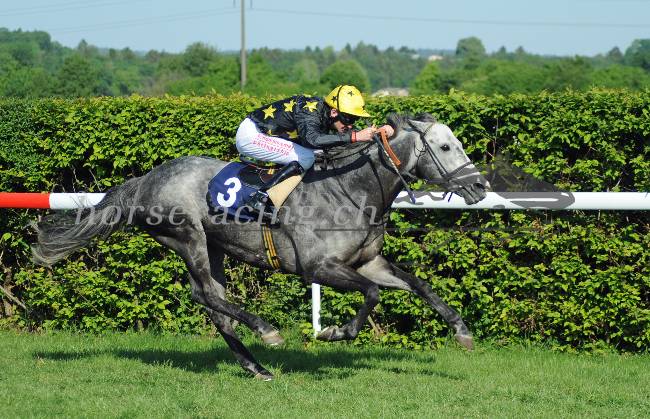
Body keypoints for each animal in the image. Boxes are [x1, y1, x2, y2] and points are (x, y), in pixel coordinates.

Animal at [31, 113, 489, 380]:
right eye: (445, 147)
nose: (480, 186)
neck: (351, 190)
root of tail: (144, 180)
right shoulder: (319, 267)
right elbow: (373, 294)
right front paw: (336, 332)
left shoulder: (368, 261)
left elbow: (419, 285)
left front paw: (462, 331)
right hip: (187, 237)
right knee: (204, 295)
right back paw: (266, 332)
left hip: (213, 245)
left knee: (215, 302)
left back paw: (256, 366)